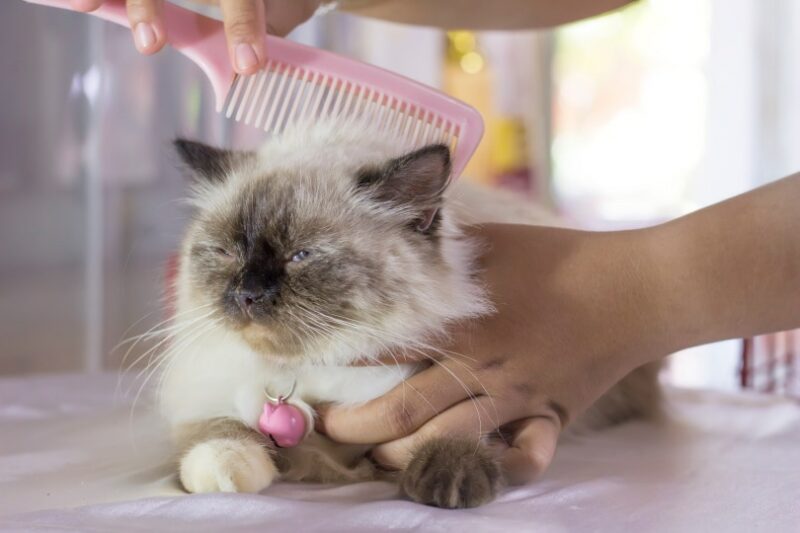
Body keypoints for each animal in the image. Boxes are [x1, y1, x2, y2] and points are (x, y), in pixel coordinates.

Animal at [159, 119, 660, 508]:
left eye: (302, 255)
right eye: (225, 253)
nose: (248, 294)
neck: (316, 366)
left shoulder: (458, 391)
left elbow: (459, 429)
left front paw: (449, 482)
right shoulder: (206, 393)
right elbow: (219, 431)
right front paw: (225, 471)